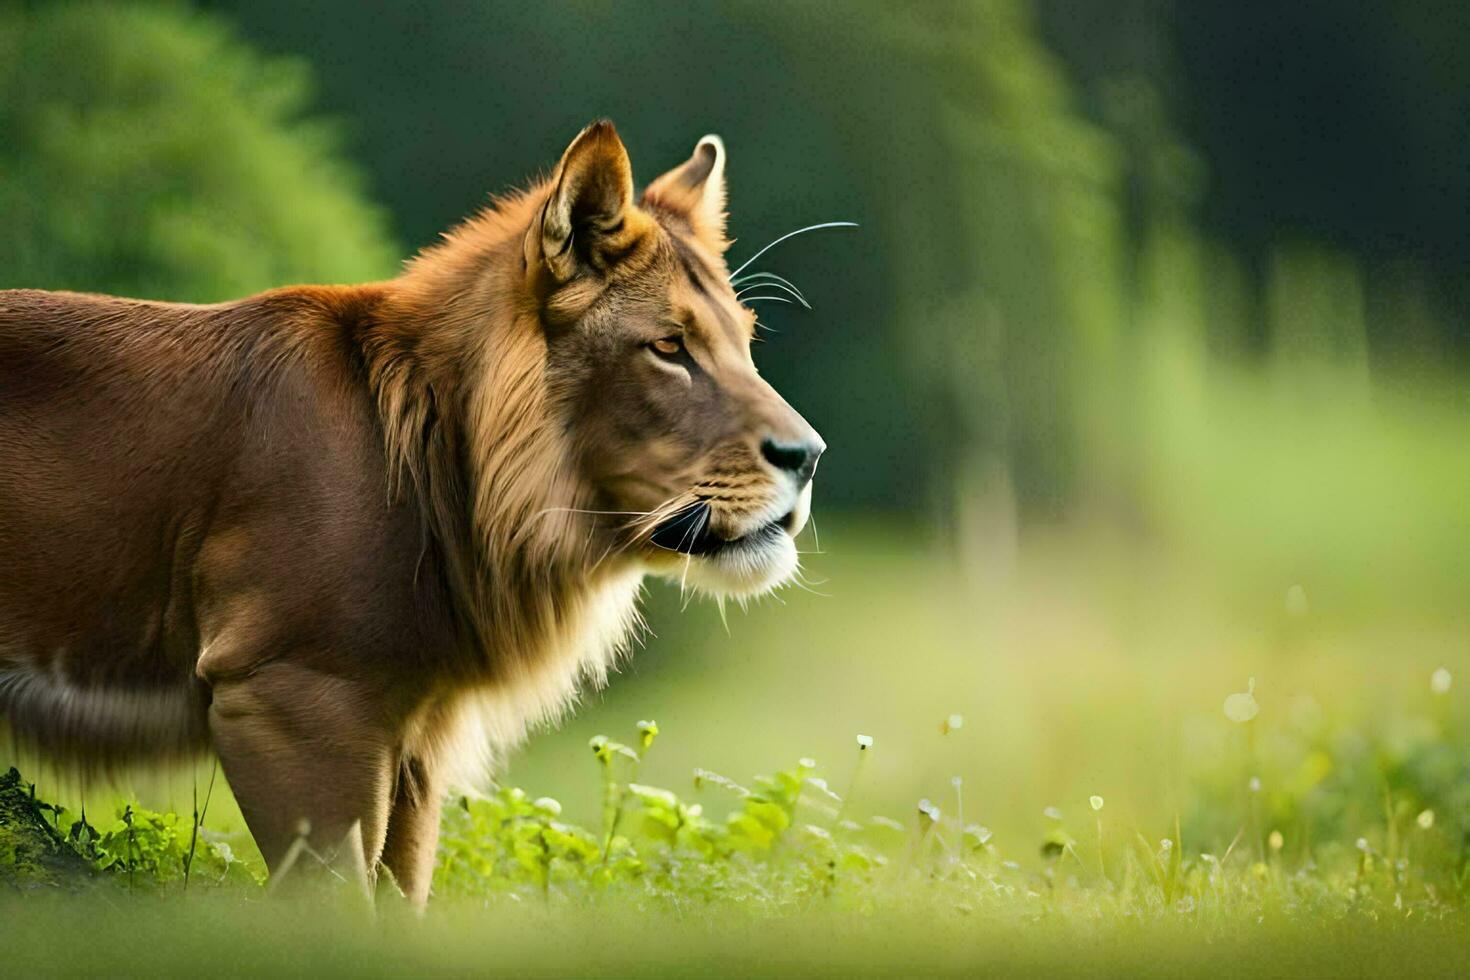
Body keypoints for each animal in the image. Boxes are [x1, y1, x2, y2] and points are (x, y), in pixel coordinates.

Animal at [0, 122, 829, 905]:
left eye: (744, 342)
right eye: (668, 346)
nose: (810, 454)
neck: (459, 480)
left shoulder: (413, 741)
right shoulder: (288, 697)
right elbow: (338, 907)